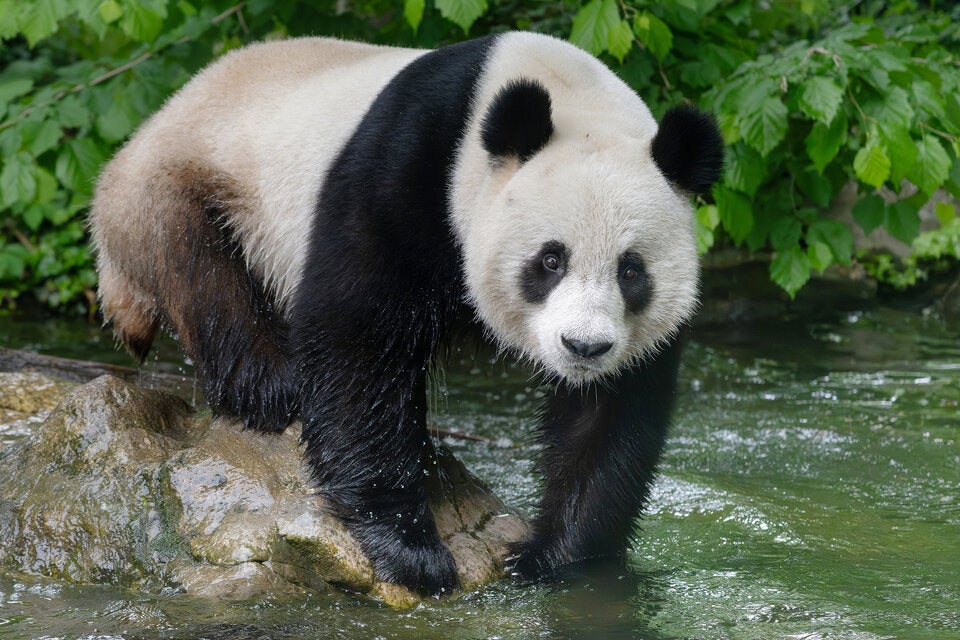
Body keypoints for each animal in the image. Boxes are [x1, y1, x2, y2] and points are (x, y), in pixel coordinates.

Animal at [90, 31, 723, 597]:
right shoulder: (409, 166)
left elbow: (612, 413)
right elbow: (358, 334)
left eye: (631, 270)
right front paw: (411, 551)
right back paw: (271, 388)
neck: (564, 93)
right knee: (204, 277)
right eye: (550, 260)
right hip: (194, 183)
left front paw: (553, 557)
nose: (584, 348)